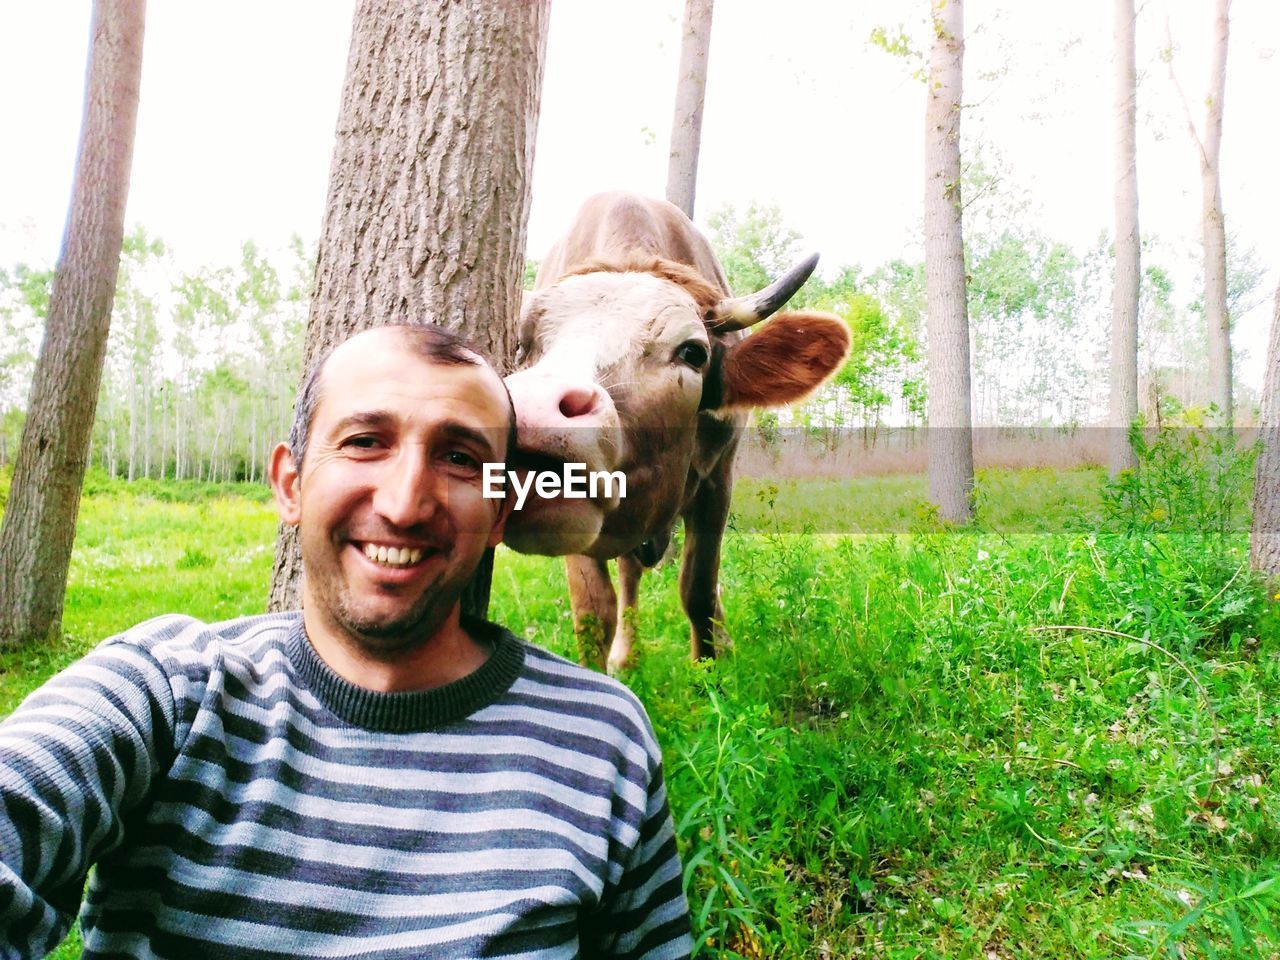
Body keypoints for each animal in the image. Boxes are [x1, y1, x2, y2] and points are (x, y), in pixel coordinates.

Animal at [501, 192, 849, 670]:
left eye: (692, 352)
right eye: (522, 344)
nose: (536, 413)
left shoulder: (719, 479)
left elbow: (697, 587)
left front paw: (710, 671)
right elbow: (593, 610)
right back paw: (627, 655)